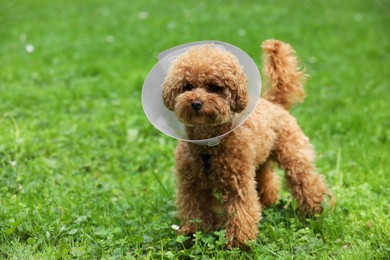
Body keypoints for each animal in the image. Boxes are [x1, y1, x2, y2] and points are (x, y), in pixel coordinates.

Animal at [160, 39, 334, 249]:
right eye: (187, 86)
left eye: (214, 87)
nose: (195, 103)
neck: (208, 144)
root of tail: (274, 103)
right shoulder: (191, 186)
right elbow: (194, 212)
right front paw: (193, 235)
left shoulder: (237, 184)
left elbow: (241, 213)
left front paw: (238, 244)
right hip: (259, 161)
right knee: (266, 178)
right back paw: (268, 202)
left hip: (293, 154)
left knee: (307, 181)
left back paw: (315, 210)